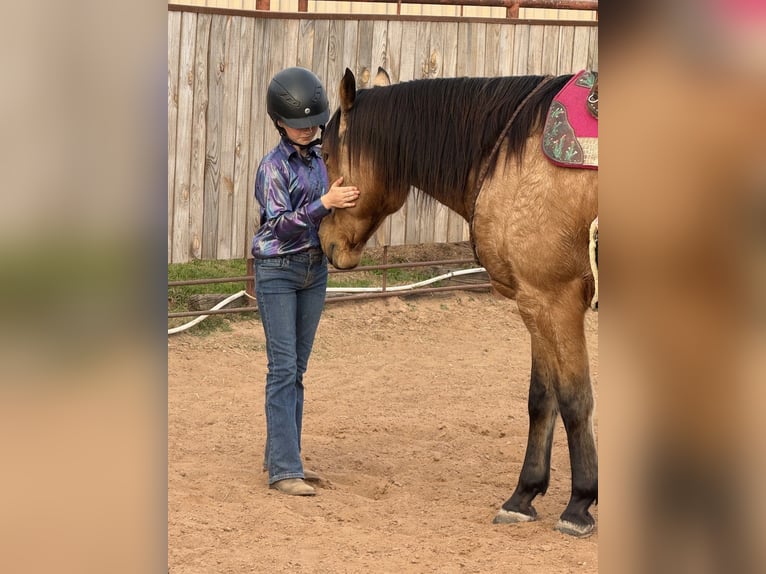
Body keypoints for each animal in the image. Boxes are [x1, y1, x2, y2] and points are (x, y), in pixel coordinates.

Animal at [318, 68, 598, 537]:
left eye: (323, 155)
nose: (326, 241)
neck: (517, 155)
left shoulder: (555, 300)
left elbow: (575, 401)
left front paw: (579, 505)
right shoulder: (534, 302)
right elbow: (542, 399)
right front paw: (524, 495)